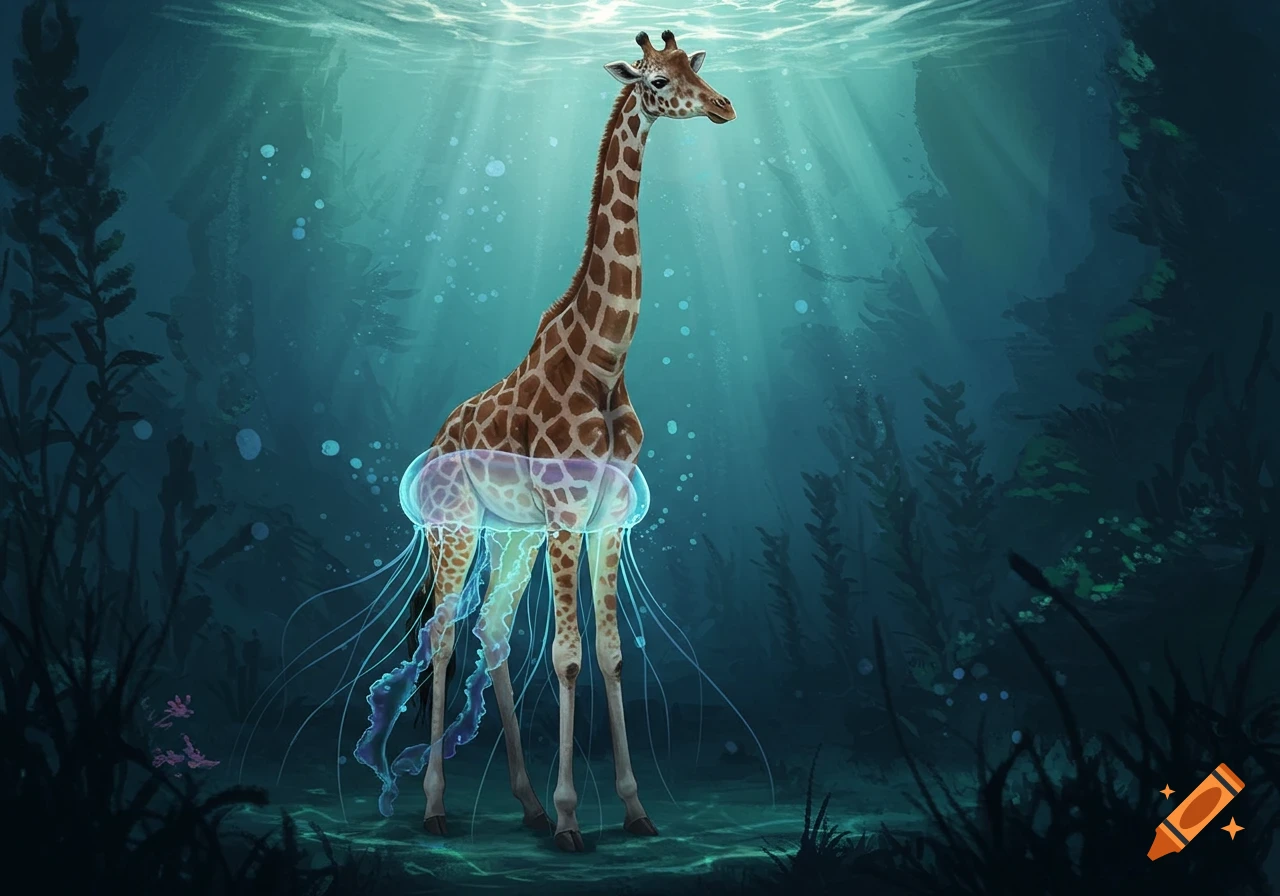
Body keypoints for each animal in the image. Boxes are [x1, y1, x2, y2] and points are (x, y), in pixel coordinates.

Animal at [406, 29, 735, 852]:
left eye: (695, 67)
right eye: (657, 81)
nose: (723, 105)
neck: (605, 359)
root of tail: (436, 438)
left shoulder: (608, 517)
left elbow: (611, 655)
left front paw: (633, 808)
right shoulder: (563, 511)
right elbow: (566, 656)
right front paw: (568, 819)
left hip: (510, 533)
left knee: (490, 631)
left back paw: (521, 802)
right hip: (458, 527)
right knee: (443, 637)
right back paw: (436, 805)